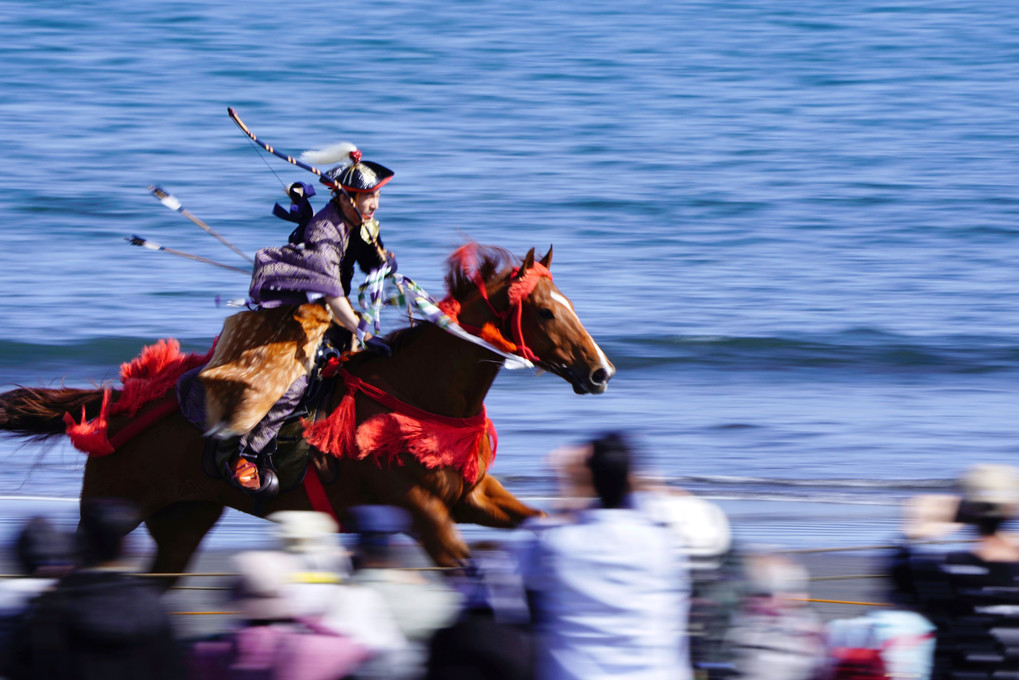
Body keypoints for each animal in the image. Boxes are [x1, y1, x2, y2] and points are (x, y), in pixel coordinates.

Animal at [0, 244, 611, 579]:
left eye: (570, 304)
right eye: (544, 311)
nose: (601, 371)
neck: (418, 397)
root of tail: (119, 406)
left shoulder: (471, 498)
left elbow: (536, 520)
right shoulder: (423, 514)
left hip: (184, 521)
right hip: (112, 510)